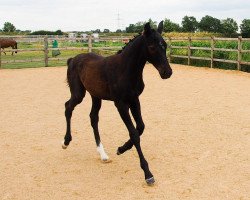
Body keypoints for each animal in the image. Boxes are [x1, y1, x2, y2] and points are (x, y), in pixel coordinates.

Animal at [61, 21, 173, 185]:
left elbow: (141, 127)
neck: (125, 69)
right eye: (152, 47)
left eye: (164, 45)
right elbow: (134, 133)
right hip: (79, 94)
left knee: (93, 118)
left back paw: (103, 155)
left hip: (95, 96)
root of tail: (72, 59)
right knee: (68, 107)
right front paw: (148, 173)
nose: (167, 72)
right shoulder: (120, 104)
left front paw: (121, 149)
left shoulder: (134, 100)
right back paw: (66, 142)